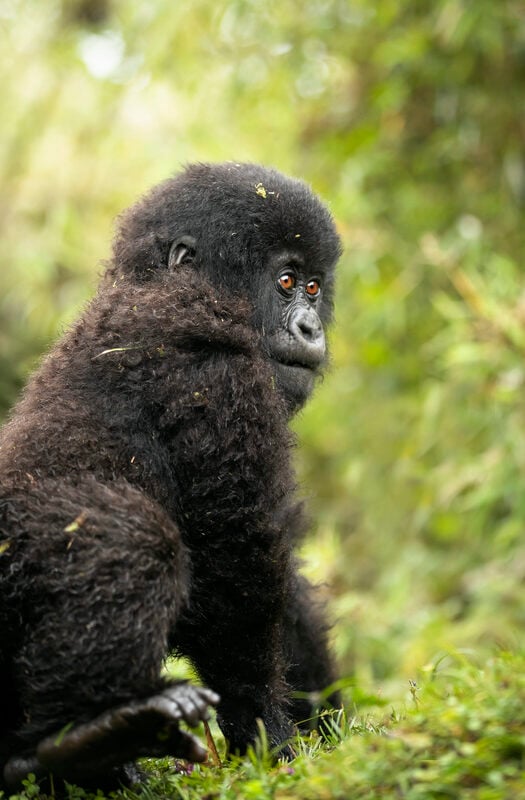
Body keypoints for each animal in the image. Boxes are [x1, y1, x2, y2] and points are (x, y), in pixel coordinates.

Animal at [0, 161, 342, 788]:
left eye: (313, 287)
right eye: (285, 282)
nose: (312, 329)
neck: (156, 283)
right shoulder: (211, 360)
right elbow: (235, 567)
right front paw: (268, 733)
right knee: (132, 536)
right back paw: (86, 739)